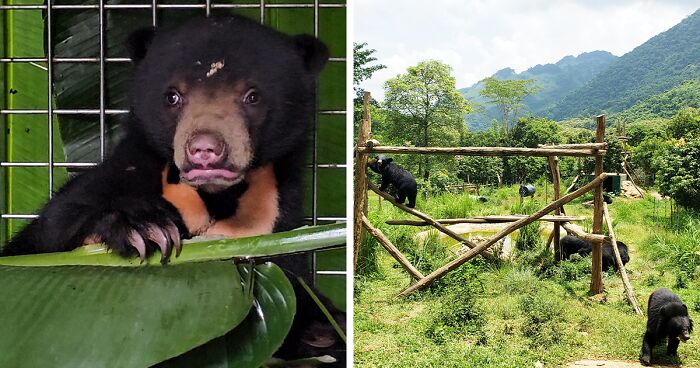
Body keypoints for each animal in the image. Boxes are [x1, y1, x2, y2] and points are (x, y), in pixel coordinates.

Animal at [0, 15, 344, 366]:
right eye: (172, 97)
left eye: (252, 96)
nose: (205, 150)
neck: (217, 199)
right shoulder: (122, 173)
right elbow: (45, 235)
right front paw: (144, 229)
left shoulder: (277, 224)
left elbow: (296, 283)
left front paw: (323, 332)